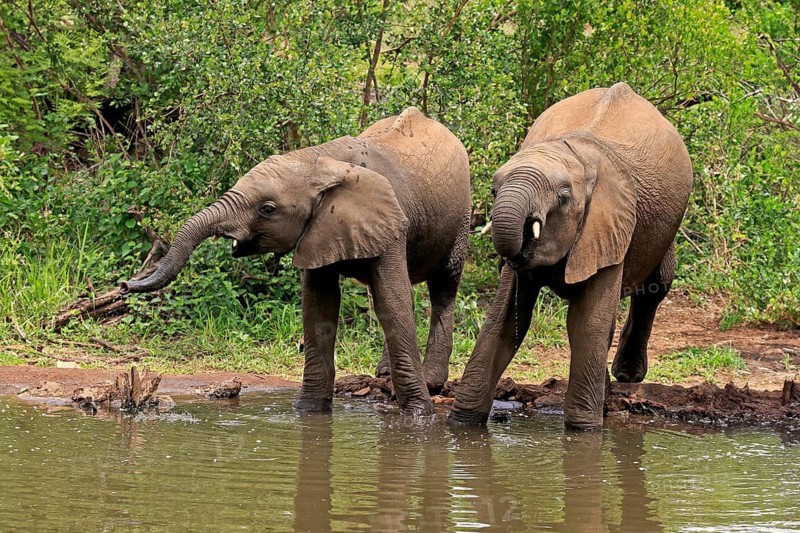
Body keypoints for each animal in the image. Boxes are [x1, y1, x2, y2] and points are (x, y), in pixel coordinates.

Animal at [122, 107, 471, 415]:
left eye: (267, 209)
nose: (124, 284)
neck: (318, 161)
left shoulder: (388, 221)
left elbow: (393, 302)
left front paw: (418, 416)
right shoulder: (321, 229)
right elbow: (320, 305)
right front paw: (308, 412)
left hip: (461, 216)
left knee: (443, 286)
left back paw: (431, 380)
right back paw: (384, 375)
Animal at [449, 83, 693, 429]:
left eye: (563, 199)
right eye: (495, 191)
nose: (511, 257)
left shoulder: (610, 225)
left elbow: (586, 322)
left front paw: (583, 430)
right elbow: (503, 319)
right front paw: (462, 423)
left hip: (663, 227)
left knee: (655, 286)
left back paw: (627, 375)